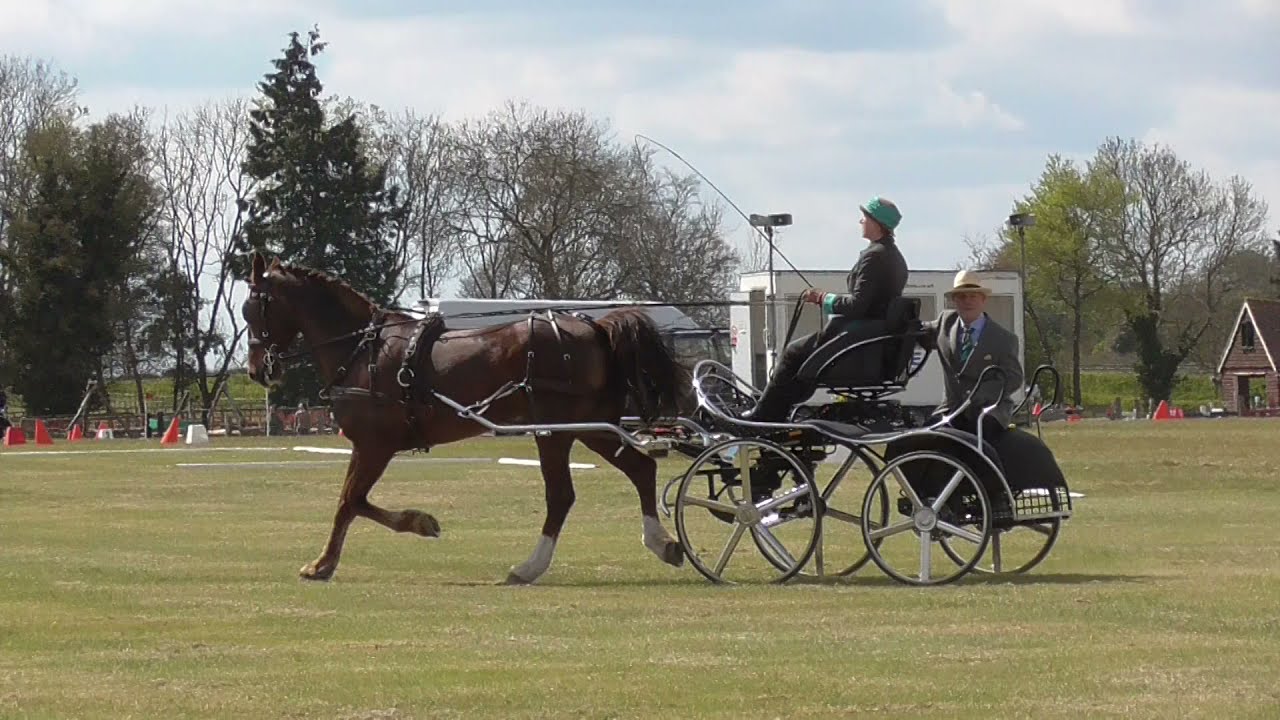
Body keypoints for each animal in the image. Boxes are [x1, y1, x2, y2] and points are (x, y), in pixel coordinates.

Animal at [240, 252, 692, 585]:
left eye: (252, 309)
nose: (258, 370)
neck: (362, 348)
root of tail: (596, 327)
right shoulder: (373, 446)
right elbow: (356, 501)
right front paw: (420, 522)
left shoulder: (373, 444)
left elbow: (349, 502)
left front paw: (324, 564)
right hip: (593, 427)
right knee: (641, 468)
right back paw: (662, 543)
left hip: (554, 431)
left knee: (562, 495)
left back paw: (529, 567)